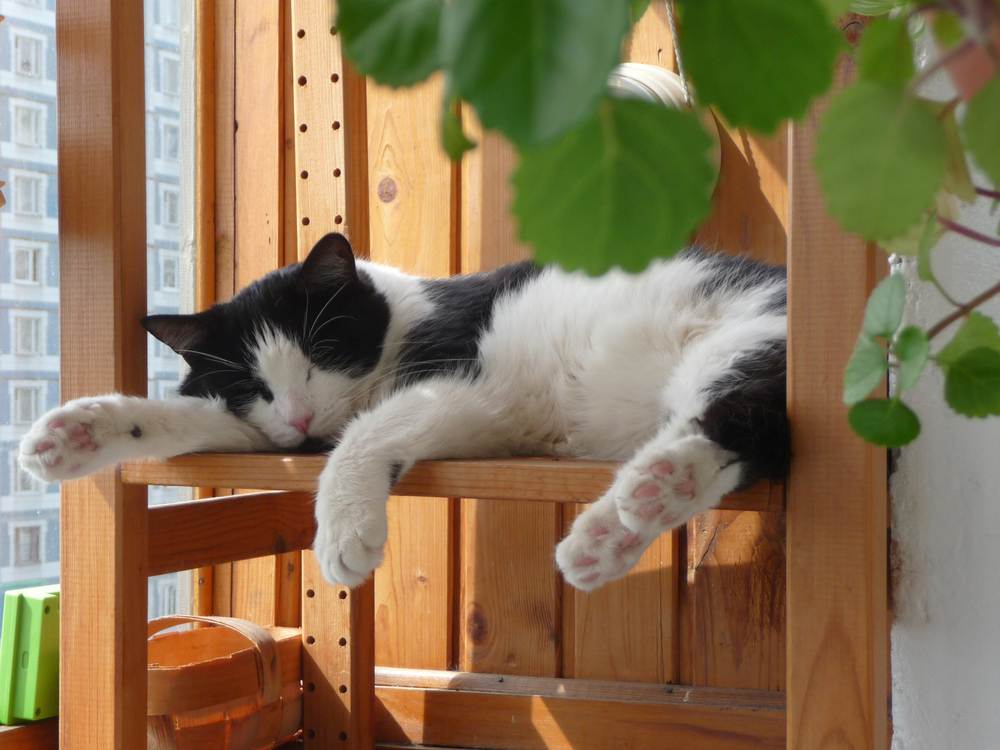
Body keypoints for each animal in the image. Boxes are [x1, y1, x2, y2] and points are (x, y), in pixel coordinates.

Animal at [13, 235, 788, 592]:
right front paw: (77, 431)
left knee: (743, 417)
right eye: (254, 384)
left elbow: (364, 433)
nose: (300, 418)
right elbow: (207, 418)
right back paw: (610, 535)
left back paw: (653, 489)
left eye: (321, 350)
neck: (399, 323)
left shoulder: (465, 383)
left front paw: (343, 532)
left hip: (747, 335)